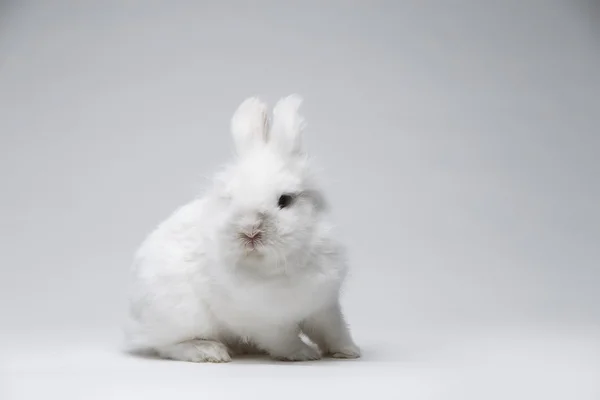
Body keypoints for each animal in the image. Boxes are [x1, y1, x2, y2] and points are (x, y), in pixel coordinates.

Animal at [124, 94, 360, 362]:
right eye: (230, 200)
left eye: (285, 200)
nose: (250, 231)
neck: (276, 267)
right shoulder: (263, 320)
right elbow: (283, 340)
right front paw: (304, 354)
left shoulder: (324, 305)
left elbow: (334, 330)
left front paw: (349, 352)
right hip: (181, 315)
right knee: (167, 345)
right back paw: (210, 351)